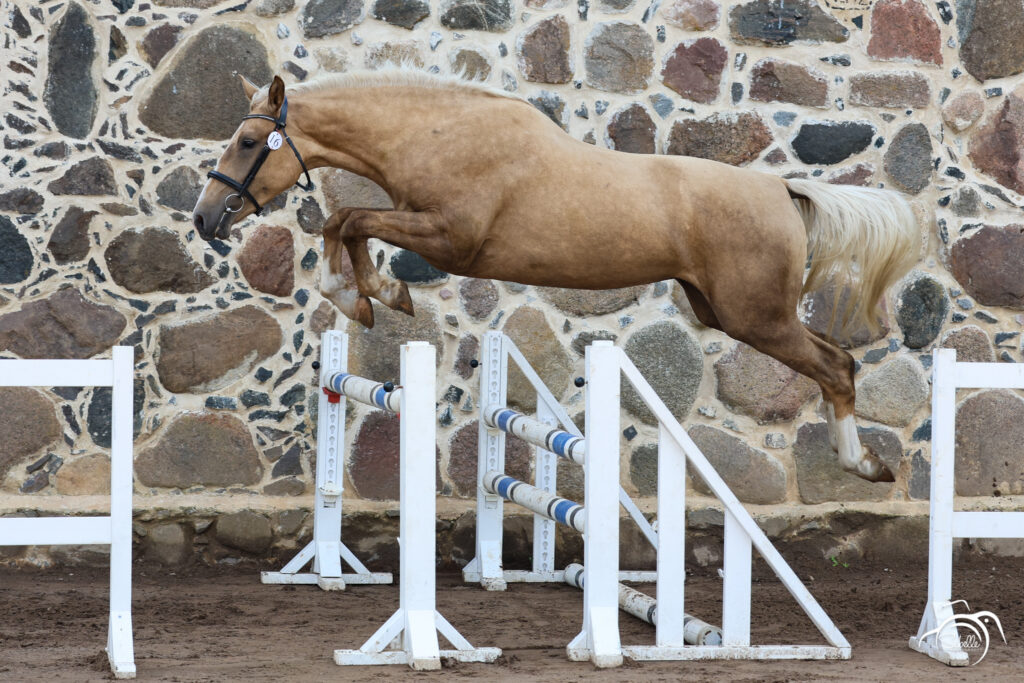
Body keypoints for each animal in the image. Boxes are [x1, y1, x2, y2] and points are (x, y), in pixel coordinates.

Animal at [192, 71, 919, 483]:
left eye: (249, 143)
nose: (203, 218)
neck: (437, 132)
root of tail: (783, 189)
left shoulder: (450, 238)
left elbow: (346, 220)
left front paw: (374, 296)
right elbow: (343, 223)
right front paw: (368, 296)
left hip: (756, 317)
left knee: (838, 367)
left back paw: (863, 464)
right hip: (727, 312)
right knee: (834, 362)